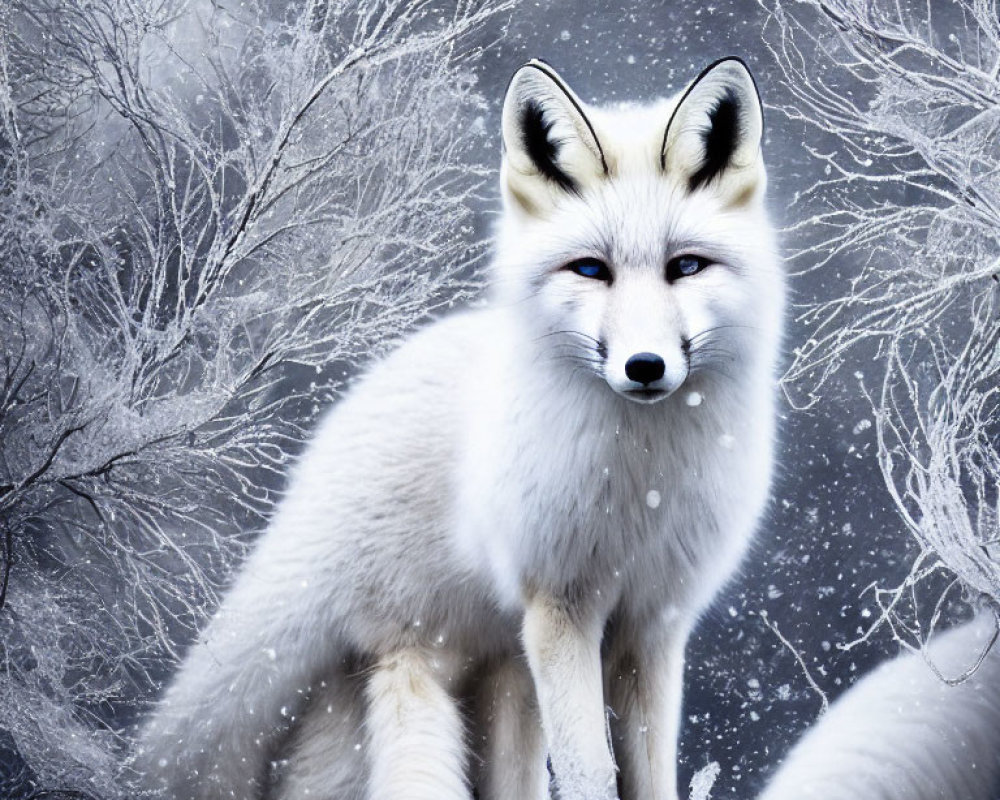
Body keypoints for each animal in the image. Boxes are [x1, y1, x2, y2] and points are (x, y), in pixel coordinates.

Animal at [137, 57, 784, 800]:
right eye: (592, 269)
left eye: (686, 266)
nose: (644, 366)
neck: (642, 482)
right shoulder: (559, 605)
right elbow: (591, 773)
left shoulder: (653, 624)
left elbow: (648, 778)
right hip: (390, 678)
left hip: (497, 679)